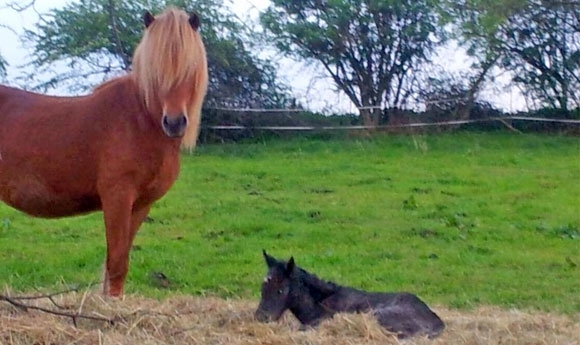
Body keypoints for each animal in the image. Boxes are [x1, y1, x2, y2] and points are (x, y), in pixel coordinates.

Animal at [0, 8, 208, 296]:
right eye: (156, 72)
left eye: (189, 68)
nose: (175, 123)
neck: (139, 121)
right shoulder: (116, 198)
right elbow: (117, 264)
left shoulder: (140, 205)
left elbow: (118, 264)